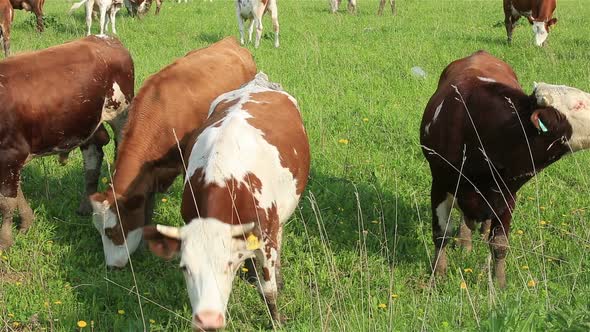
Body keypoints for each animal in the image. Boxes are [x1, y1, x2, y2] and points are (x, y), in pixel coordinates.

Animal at [0, 35, 134, 249]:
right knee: (93, 160)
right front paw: (27, 221)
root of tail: (106, 39)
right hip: (86, 123)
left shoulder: (11, 152)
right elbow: (16, 192)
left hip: (121, 114)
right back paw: (86, 206)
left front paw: (5, 241)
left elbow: (7, 202)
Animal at [146, 72, 312, 330]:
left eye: (228, 265)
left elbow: (268, 290)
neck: (224, 179)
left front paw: (276, 321)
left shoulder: (265, 238)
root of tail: (257, 81)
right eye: (185, 268)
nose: (206, 319)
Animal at [420, 50, 590, 286]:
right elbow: (441, 233)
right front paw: (438, 275)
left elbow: (499, 244)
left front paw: (499, 284)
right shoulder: (439, 183)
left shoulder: (507, 194)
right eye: (579, 105)